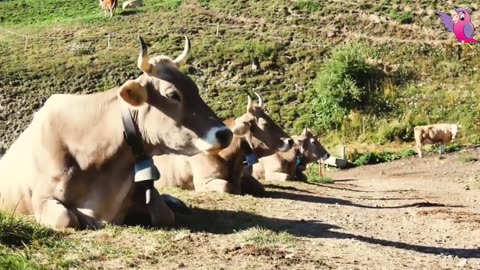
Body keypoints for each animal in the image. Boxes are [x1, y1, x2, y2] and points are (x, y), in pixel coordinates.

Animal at [0, 35, 232, 230]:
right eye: (172, 95)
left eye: (195, 88)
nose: (225, 134)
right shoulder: (42, 198)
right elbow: (66, 218)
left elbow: (165, 214)